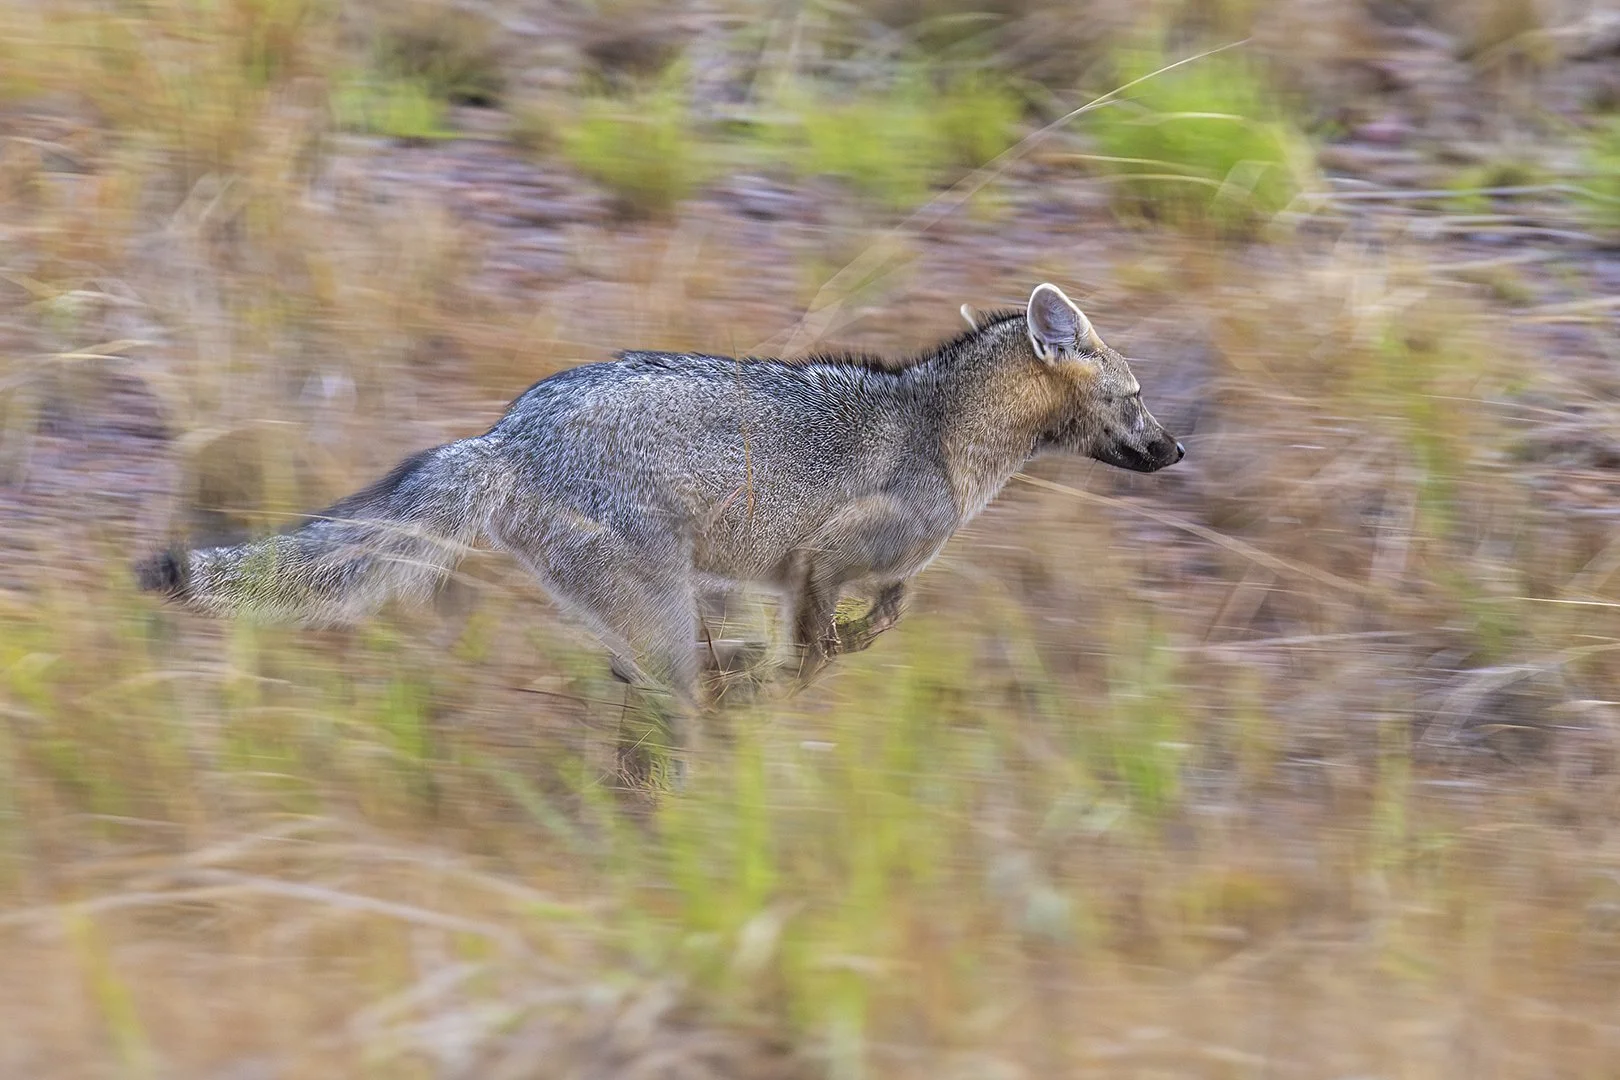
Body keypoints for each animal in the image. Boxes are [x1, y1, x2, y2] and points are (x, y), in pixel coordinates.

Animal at [136, 283, 1184, 747]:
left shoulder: (811, 578)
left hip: (660, 610)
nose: (1177, 451)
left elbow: (884, 614)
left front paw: (823, 658)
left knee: (641, 680)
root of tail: (503, 435)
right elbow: (820, 649)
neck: (944, 432)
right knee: (672, 700)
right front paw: (790, 685)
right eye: (1137, 400)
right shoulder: (819, 560)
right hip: (667, 613)